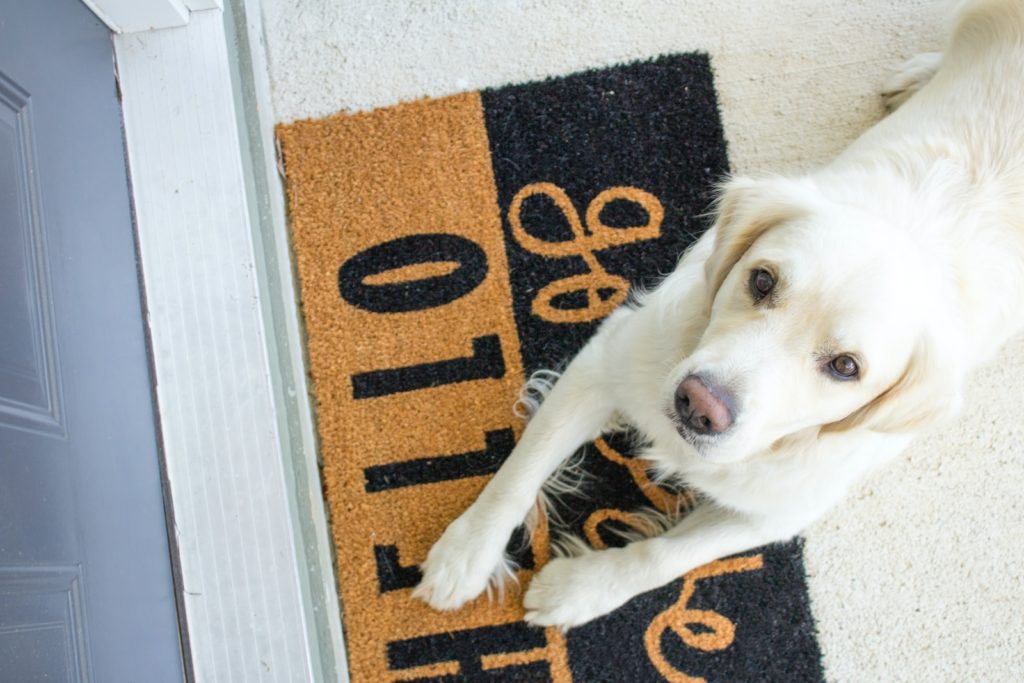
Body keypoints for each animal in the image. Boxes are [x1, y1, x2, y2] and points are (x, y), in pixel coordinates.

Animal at [411, 0, 1019, 630]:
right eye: (761, 280)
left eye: (846, 367)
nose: (699, 406)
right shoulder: (609, 356)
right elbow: (522, 467)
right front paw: (466, 551)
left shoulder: (780, 510)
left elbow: (666, 555)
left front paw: (583, 587)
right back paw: (920, 72)